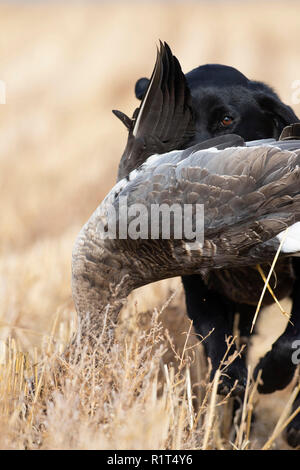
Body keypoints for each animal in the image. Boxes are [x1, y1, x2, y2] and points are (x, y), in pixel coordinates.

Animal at [135, 63, 300, 448]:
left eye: (226, 119)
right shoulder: (201, 291)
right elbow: (217, 341)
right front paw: (231, 379)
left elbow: (290, 340)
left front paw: (270, 377)